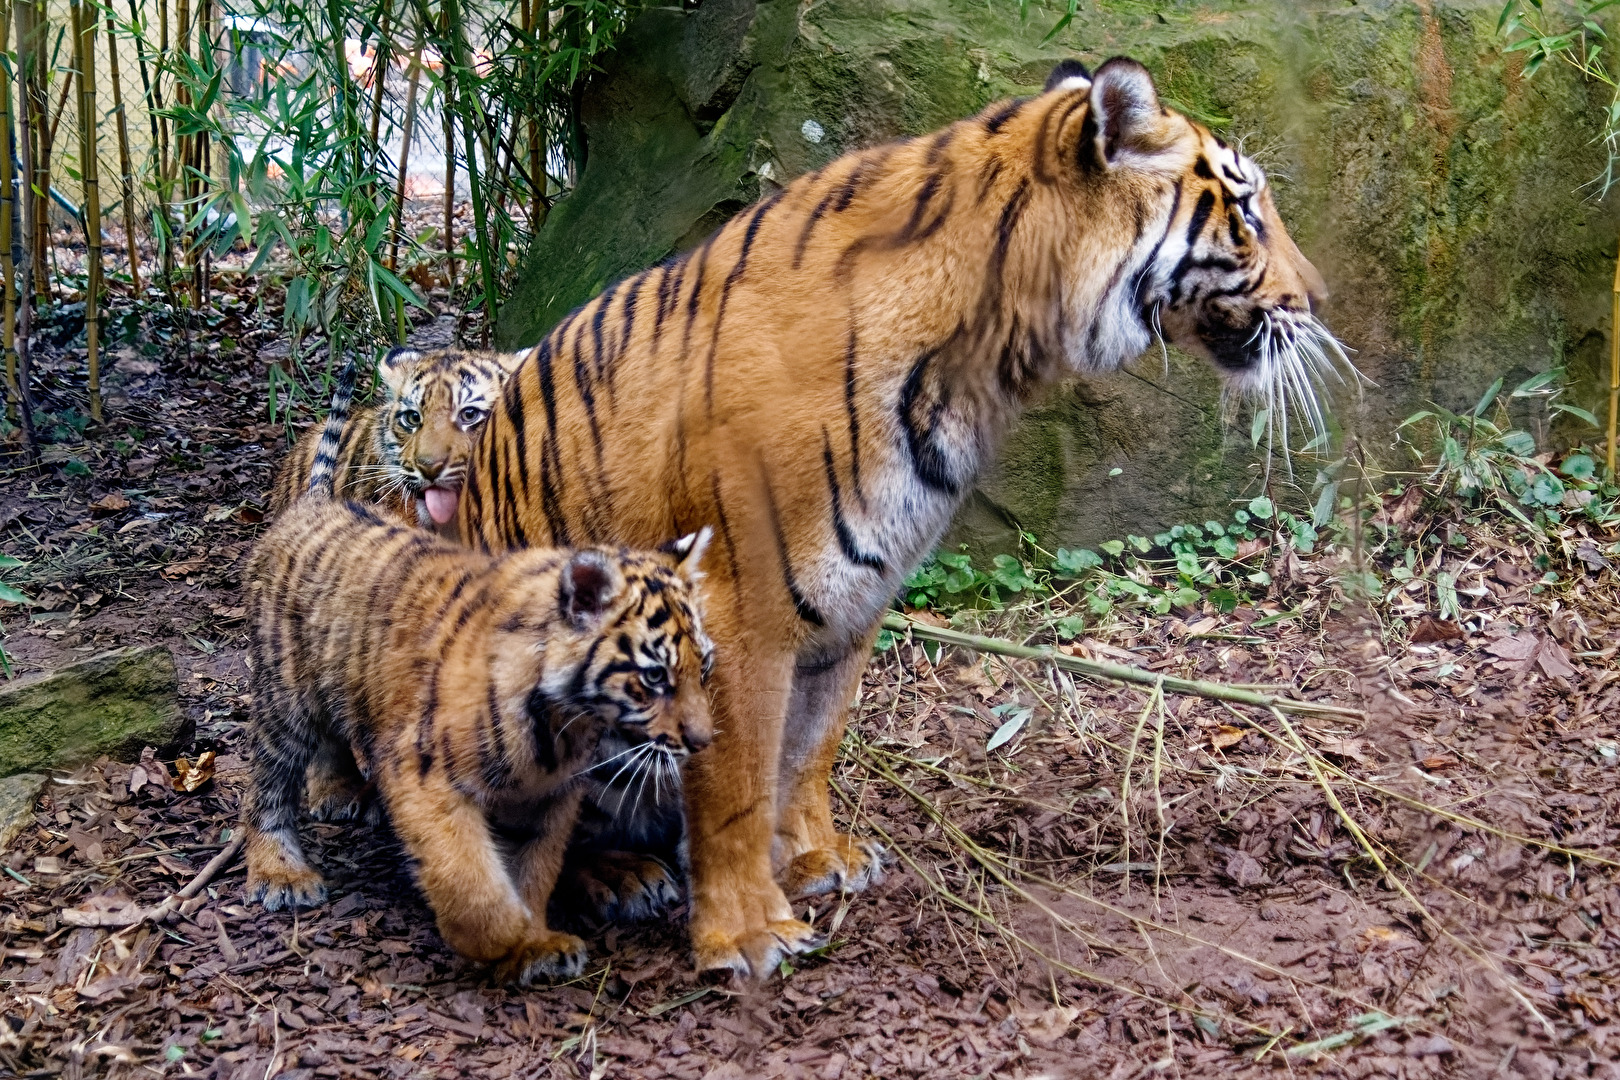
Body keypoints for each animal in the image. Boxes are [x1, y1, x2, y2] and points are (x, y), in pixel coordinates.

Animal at [457, 56, 1346, 978]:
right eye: (1246, 212)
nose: (1321, 299)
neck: (985, 364)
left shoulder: (855, 595)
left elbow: (807, 749)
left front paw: (813, 858)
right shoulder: (739, 610)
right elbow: (736, 784)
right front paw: (747, 931)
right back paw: (619, 877)